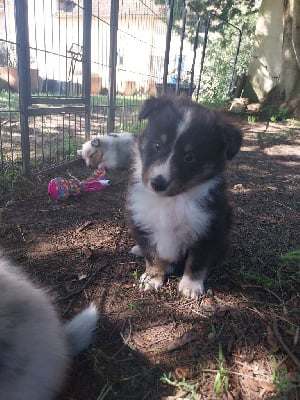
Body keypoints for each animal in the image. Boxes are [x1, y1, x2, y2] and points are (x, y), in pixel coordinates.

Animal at [125, 95, 243, 298]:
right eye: (157, 145)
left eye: (189, 157)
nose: (158, 183)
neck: (171, 201)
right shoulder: (141, 220)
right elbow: (152, 255)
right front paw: (152, 279)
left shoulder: (208, 229)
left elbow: (197, 261)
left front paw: (191, 286)